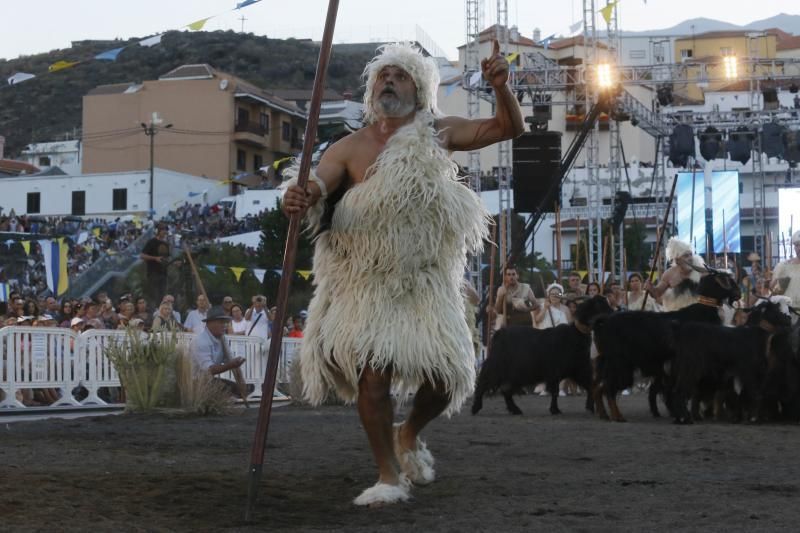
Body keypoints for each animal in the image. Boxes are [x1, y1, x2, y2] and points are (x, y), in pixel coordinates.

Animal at [472, 296, 608, 416]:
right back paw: (475, 408)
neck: (575, 334)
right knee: (483, 384)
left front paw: (589, 408)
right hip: (497, 367)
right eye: (599, 305)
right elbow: (555, 392)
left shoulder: (578, 369)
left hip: (514, 374)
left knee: (506, 391)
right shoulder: (555, 372)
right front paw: (555, 410)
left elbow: (590, 386)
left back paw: (516, 410)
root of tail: (499, 334)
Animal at [592, 270, 736, 420]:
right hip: (619, 364)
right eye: (728, 279)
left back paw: (604, 413)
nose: (737, 295)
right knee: (609, 388)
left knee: (598, 388)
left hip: (609, 363)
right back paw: (617, 416)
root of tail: (604, 322)